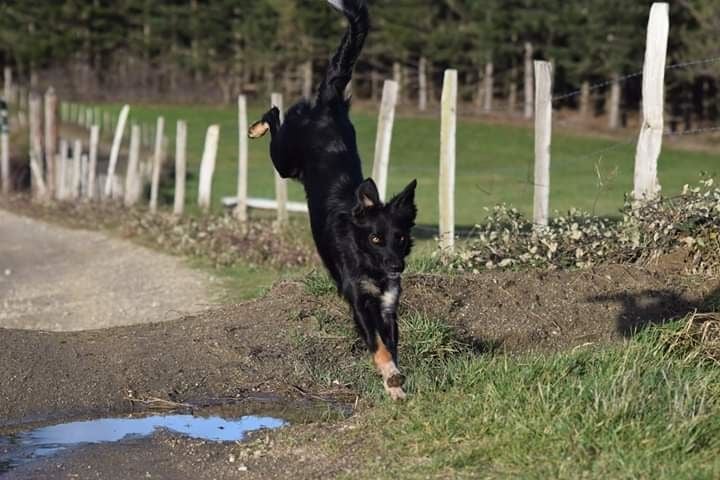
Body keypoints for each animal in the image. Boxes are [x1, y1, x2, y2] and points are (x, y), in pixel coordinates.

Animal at [250, 0, 416, 400]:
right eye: (376, 238)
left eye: (401, 237)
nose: (396, 266)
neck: (369, 261)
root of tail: (327, 104)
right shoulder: (359, 299)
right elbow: (379, 345)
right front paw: (390, 376)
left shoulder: (389, 302)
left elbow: (392, 343)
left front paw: (395, 386)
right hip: (284, 160)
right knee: (276, 114)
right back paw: (256, 127)